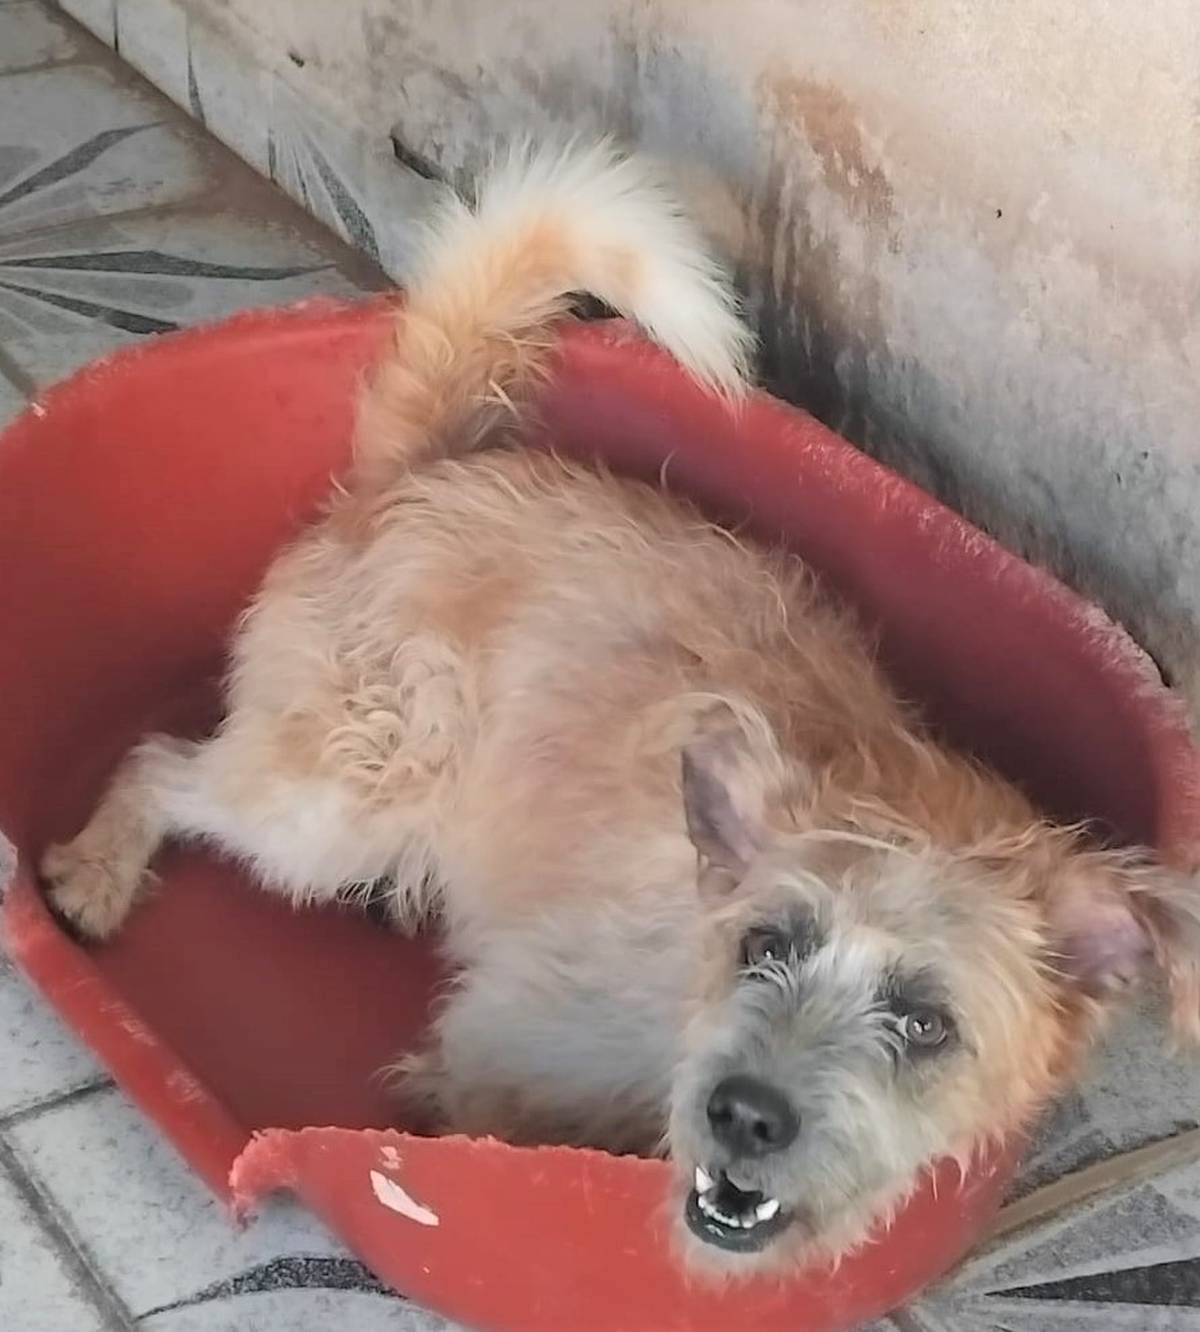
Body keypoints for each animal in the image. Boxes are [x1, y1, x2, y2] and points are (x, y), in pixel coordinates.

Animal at [41, 140, 1200, 1275]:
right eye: (764, 946)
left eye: (925, 1024)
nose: (746, 1115)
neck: (688, 996)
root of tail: (421, 470)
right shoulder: (509, 1026)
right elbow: (482, 1119)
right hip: (343, 797)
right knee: (162, 762)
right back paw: (96, 873)